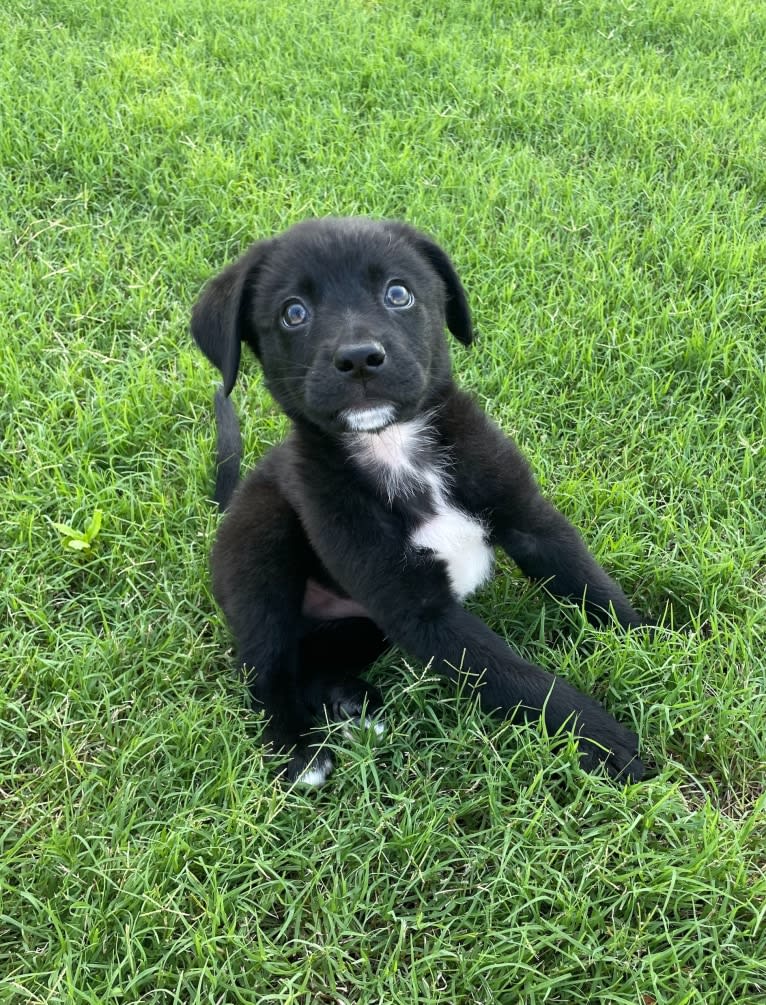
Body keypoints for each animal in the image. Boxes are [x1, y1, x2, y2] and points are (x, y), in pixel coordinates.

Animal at [190, 218, 643, 783]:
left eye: (398, 293)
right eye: (293, 312)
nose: (359, 358)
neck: (396, 448)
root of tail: (231, 506)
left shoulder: (531, 521)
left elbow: (594, 588)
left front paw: (660, 644)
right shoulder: (418, 610)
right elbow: (519, 680)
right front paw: (604, 740)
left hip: (360, 626)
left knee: (309, 663)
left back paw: (350, 701)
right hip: (262, 548)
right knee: (266, 668)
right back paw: (298, 749)